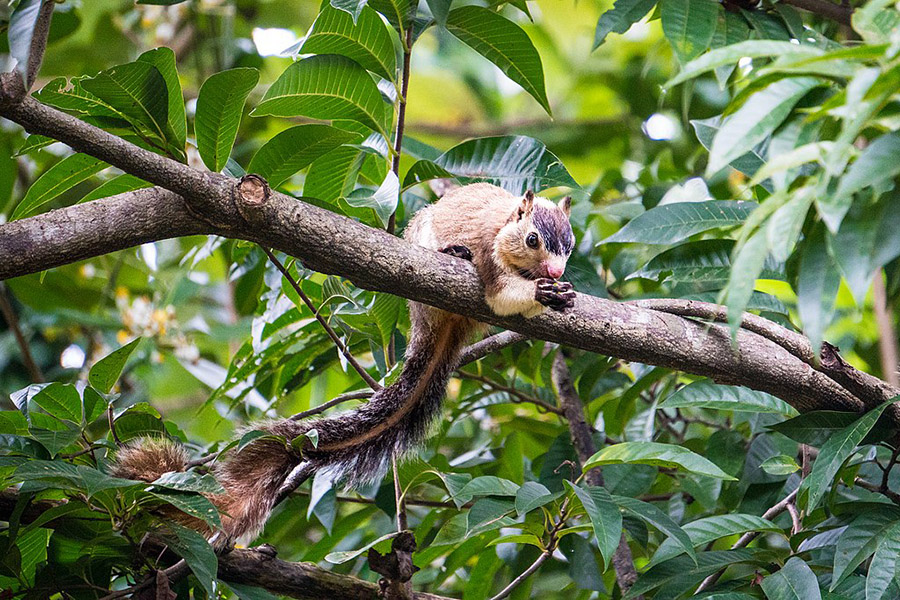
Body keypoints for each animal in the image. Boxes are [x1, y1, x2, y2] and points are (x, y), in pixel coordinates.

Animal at [113, 183, 576, 545]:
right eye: (532, 239)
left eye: (570, 245)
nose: (555, 271)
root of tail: (435, 324)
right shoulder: (490, 256)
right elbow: (500, 295)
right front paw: (541, 293)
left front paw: (560, 291)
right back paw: (456, 252)